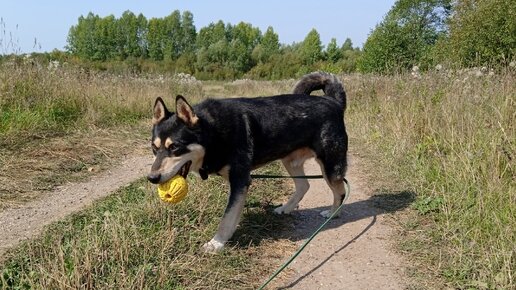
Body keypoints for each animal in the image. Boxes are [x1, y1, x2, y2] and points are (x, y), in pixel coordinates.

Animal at [147, 73, 348, 254]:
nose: (152, 178)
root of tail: (333, 102)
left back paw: (333, 213)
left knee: (340, 191)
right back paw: (286, 208)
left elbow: (227, 219)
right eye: (154, 148)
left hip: (330, 167)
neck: (214, 133)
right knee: (304, 186)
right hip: (290, 161)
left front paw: (216, 243)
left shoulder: (240, 181)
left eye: (175, 147)